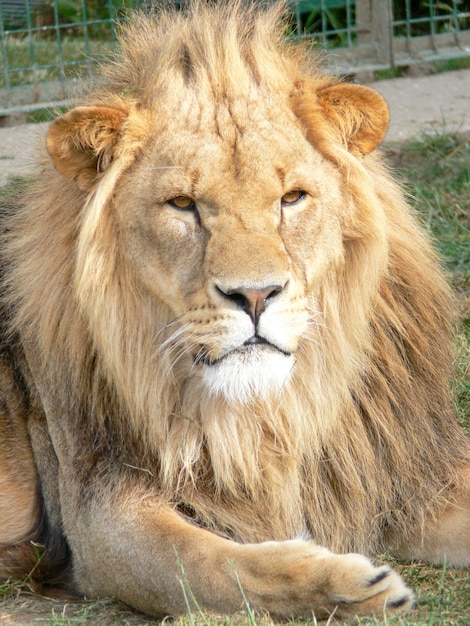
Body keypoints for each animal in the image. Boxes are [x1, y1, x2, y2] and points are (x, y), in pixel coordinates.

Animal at [0, 1, 470, 620]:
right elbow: (214, 565)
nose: (255, 296)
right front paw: (349, 585)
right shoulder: (99, 514)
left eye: (292, 198)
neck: (268, 417)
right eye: (182, 204)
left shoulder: (397, 473)